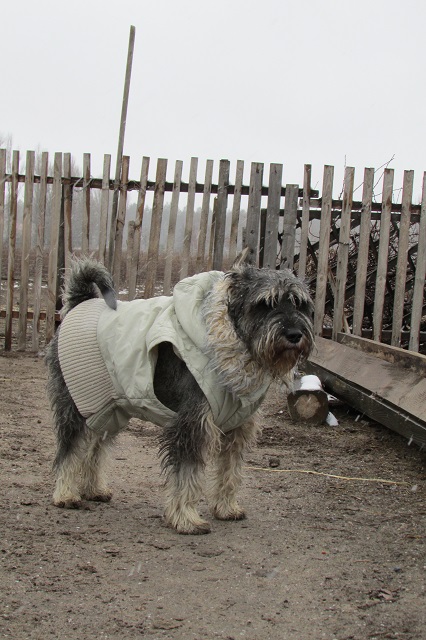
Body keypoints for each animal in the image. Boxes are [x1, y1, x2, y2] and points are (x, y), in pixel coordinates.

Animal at [45, 252, 314, 534]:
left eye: (300, 304)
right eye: (265, 304)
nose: (294, 334)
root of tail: (79, 303)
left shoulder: (237, 429)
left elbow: (230, 471)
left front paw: (227, 508)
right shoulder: (193, 425)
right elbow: (187, 475)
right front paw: (186, 519)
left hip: (110, 408)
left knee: (95, 447)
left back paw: (93, 489)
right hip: (76, 404)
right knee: (70, 447)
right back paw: (65, 494)